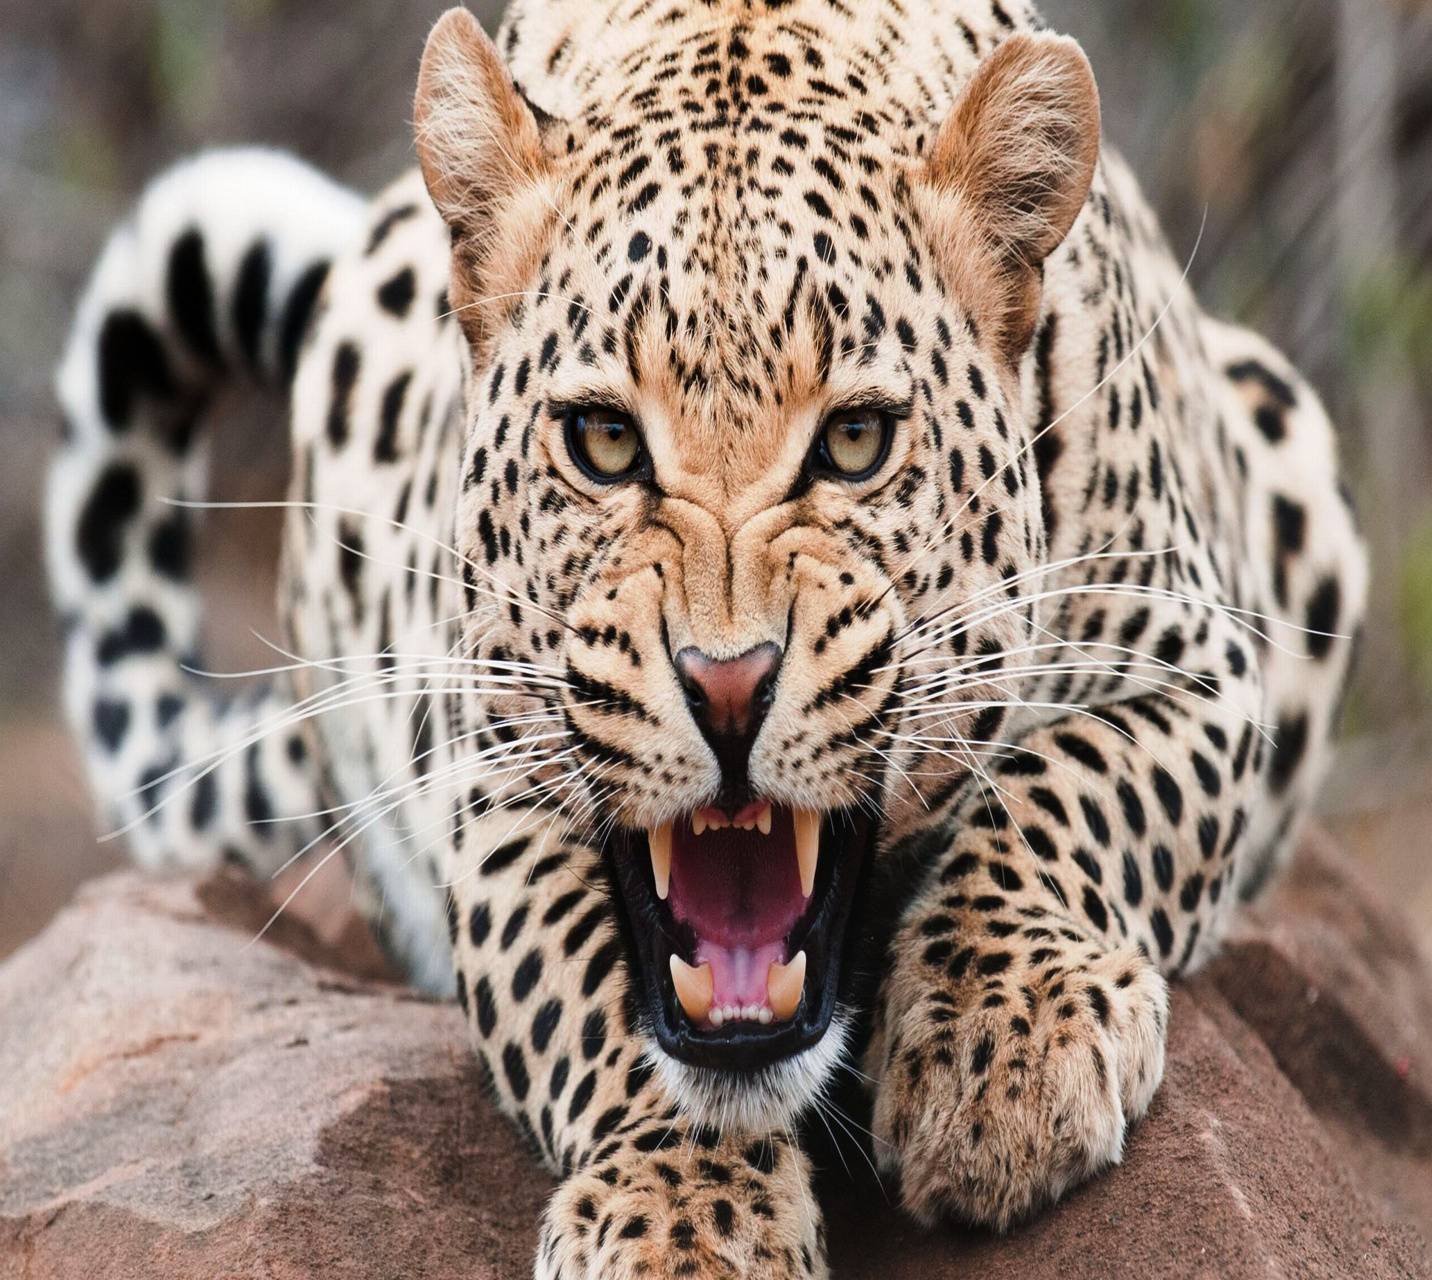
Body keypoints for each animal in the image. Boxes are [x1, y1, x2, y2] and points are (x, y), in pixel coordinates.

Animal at [48, 0, 1368, 1275]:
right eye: (601, 441)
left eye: (853, 442)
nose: (727, 687)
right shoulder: (492, 771)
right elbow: (587, 991)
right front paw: (682, 1214)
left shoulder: (1197, 662)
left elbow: (1070, 788)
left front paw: (1003, 1046)